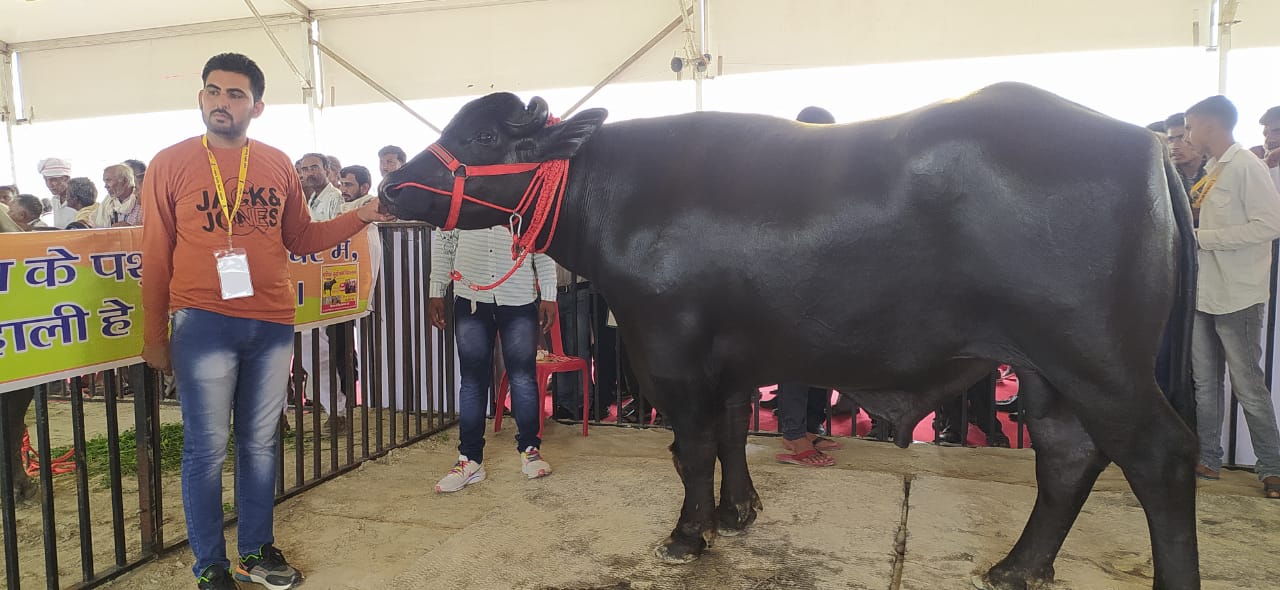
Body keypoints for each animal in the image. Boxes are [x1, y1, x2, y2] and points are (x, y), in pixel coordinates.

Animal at [378, 83, 1198, 588]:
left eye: (482, 133)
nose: (389, 186)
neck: (612, 193)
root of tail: (1145, 145)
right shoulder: (735, 355)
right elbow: (734, 430)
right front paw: (738, 513)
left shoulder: (669, 350)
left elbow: (692, 447)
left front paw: (689, 533)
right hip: (1047, 370)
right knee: (1066, 453)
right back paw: (1017, 566)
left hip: (1100, 359)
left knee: (1159, 455)